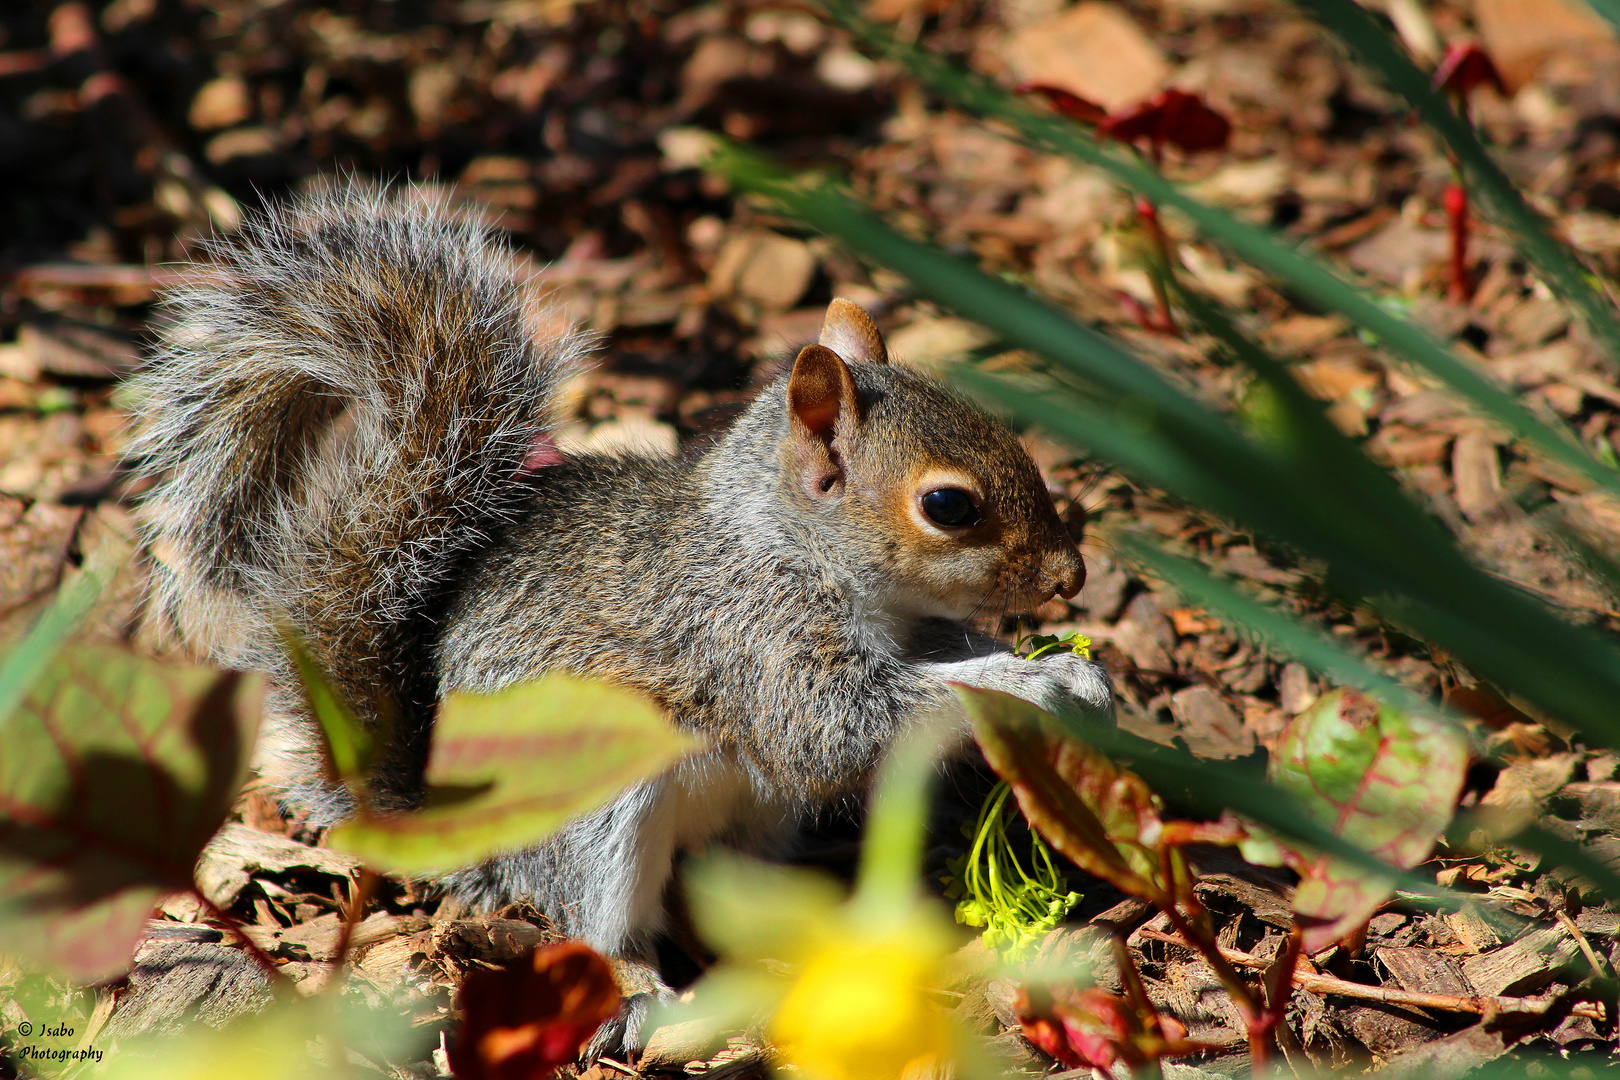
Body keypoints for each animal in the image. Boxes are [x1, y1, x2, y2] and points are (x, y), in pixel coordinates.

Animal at [129, 183, 1114, 1049]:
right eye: (949, 506)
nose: (1071, 575)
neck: (783, 540)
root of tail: (476, 836)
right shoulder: (750, 636)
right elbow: (838, 726)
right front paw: (1028, 682)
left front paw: (1068, 667)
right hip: (600, 799)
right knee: (600, 925)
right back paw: (642, 990)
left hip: (748, 823)